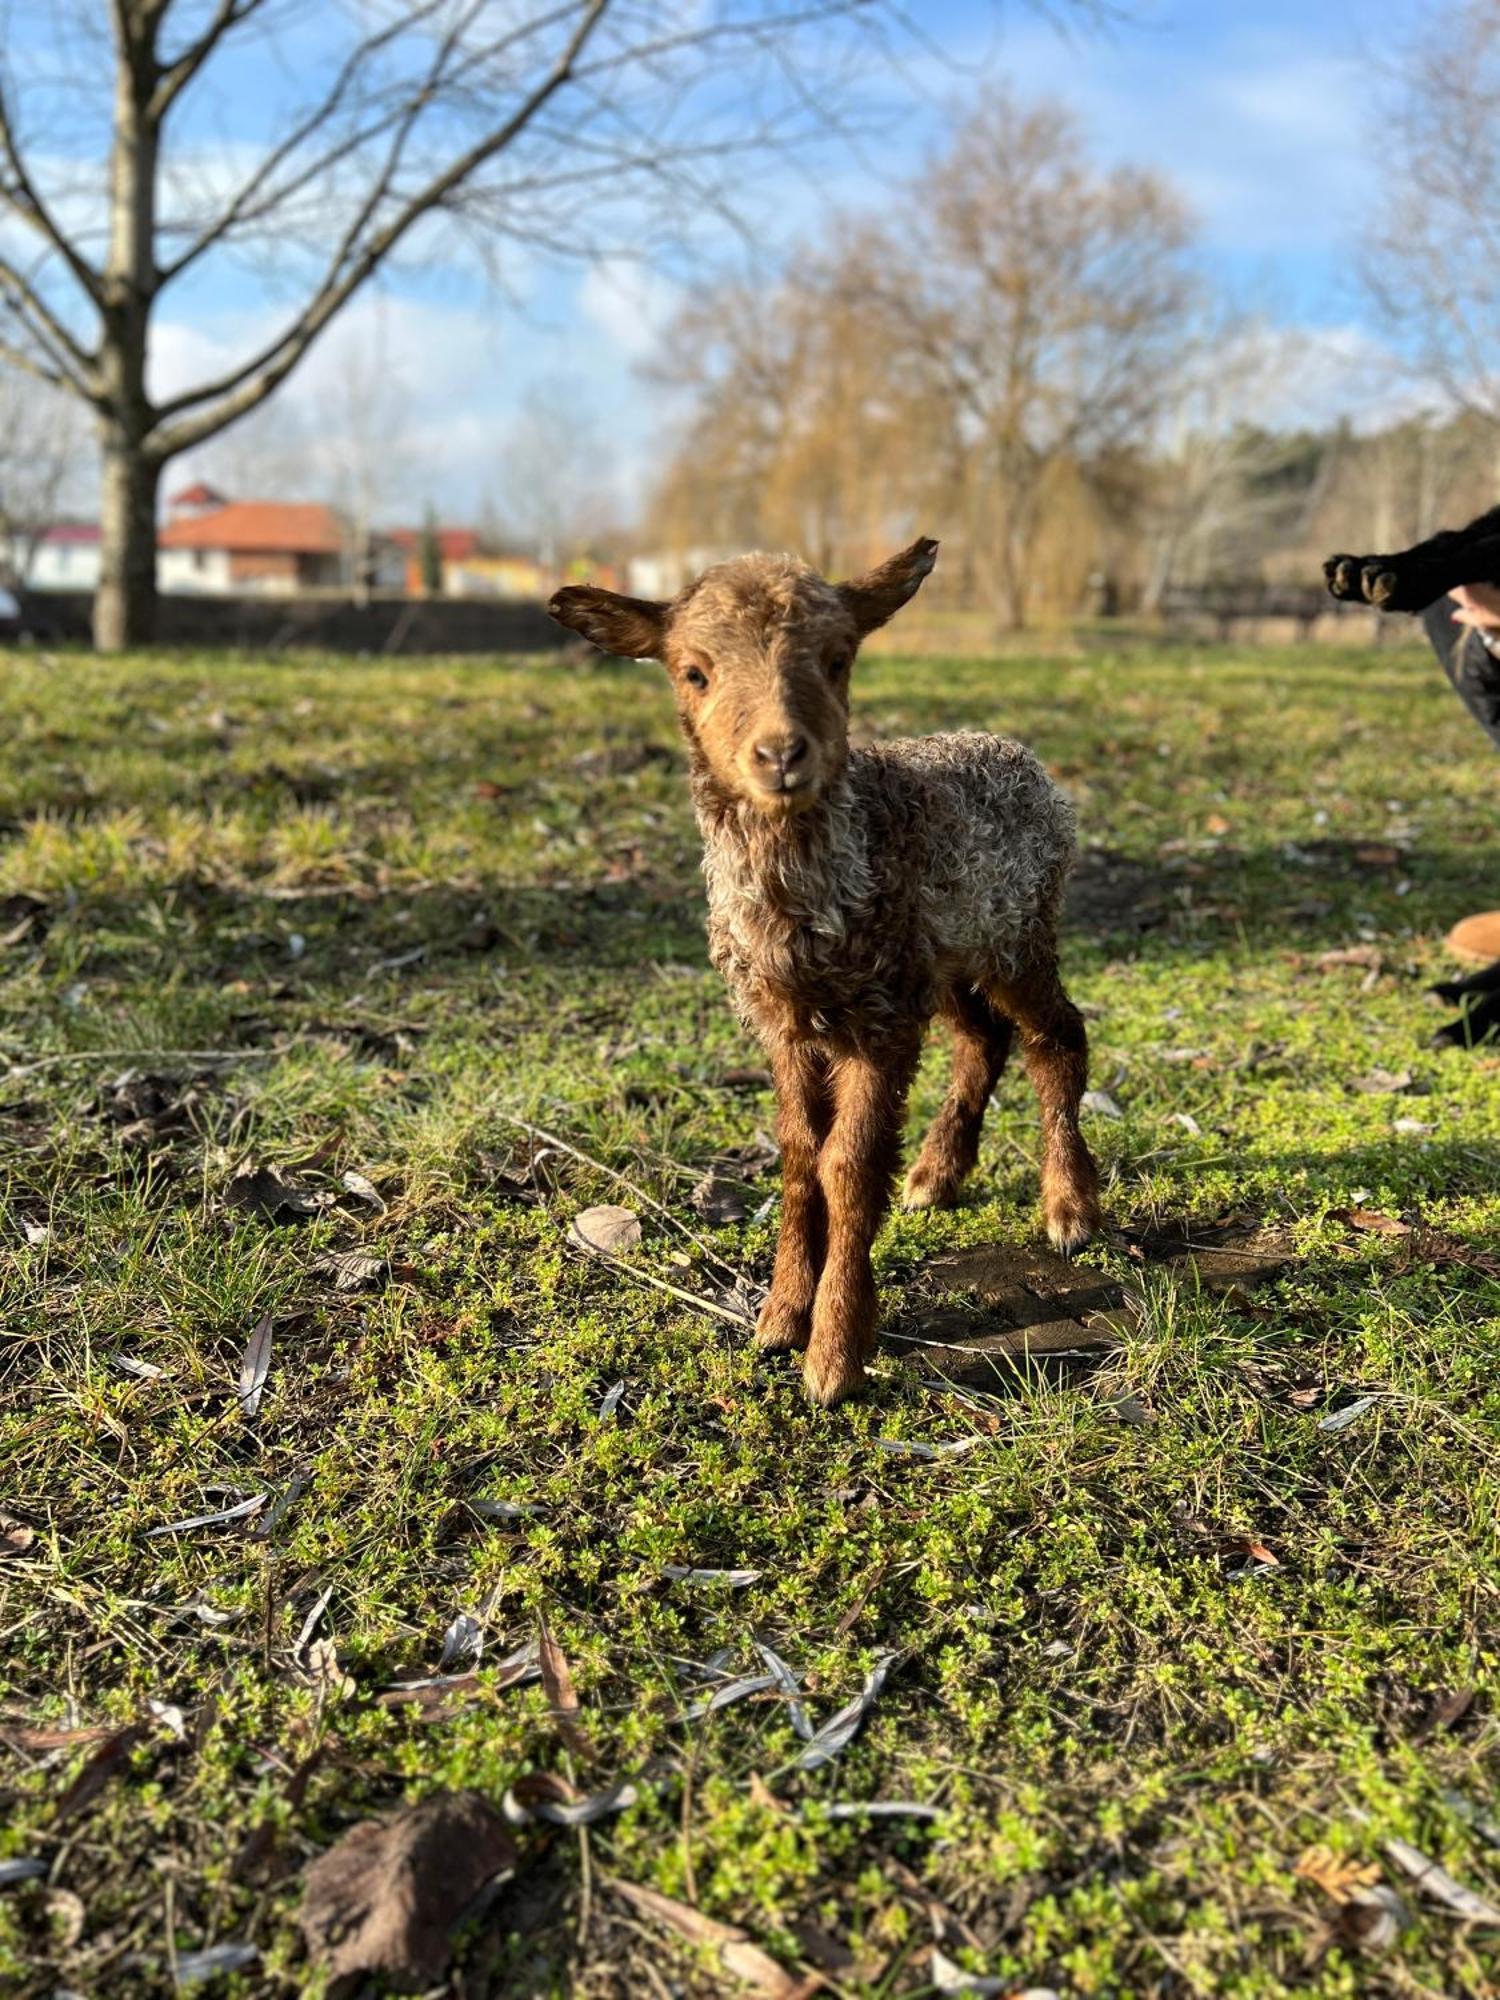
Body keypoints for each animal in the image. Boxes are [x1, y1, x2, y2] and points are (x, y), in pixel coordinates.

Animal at [552, 536, 1104, 1408]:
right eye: (694, 672)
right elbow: (798, 1156)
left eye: (838, 658)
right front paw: (780, 1316)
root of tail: (1023, 757)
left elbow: (847, 1166)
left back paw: (1070, 1207)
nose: (780, 754)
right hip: (942, 956)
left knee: (1056, 1035)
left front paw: (835, 1354)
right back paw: (937, 1174)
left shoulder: (878, 1021)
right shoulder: (787, 1021)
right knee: (983, 1038)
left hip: (1017, 929)